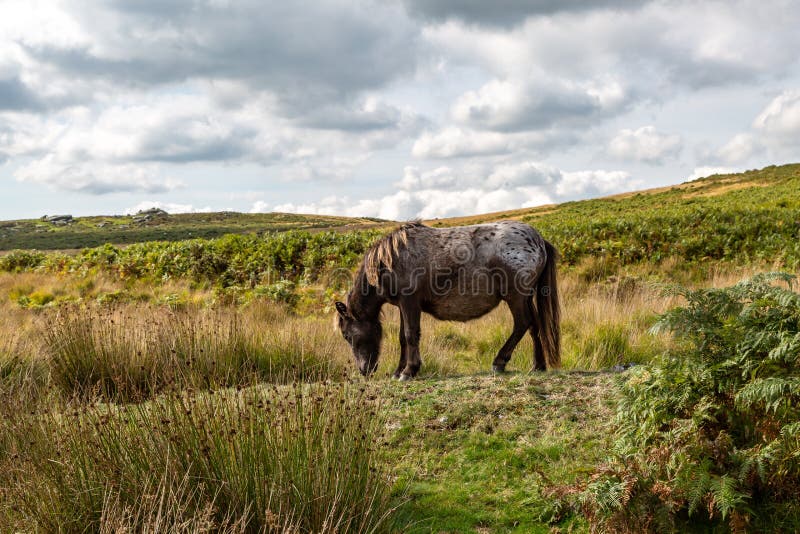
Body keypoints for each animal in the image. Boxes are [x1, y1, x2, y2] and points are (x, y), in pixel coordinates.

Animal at [335, 221, 560, 380]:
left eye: (346, 335)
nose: (364, 370)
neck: (389, 262)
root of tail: (539, 240)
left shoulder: (409, 303)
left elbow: (410, 335)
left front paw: (409, 371)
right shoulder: (402, 306)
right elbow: (402, 338)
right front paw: (399, 371)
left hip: (516, 297)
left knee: (523, 323)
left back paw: (500, 362)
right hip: (525, 298)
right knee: (534, 326)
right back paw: (538, 365)